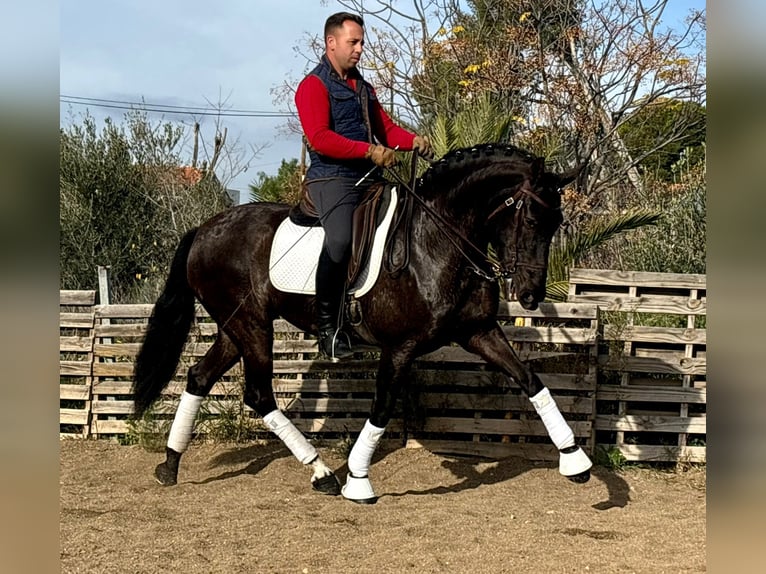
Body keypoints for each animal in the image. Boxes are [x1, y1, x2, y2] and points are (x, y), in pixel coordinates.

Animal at [132, 143, 592, 504]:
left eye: (557, 223)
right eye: (531, 219)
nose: (531, 295)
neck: (436, 239)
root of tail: (204, 229)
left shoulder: (478, 333)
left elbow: (531, 380)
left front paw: (575, 460)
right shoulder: (400, 347)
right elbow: (383, 406)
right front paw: (358, 479)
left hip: (235, 328)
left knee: (199, 376)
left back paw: (170, 464)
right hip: (253, 327)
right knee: (259, 395)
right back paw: (322, 472)